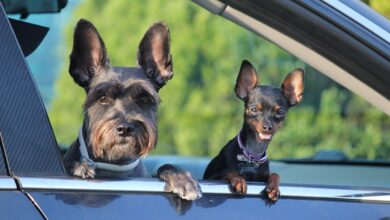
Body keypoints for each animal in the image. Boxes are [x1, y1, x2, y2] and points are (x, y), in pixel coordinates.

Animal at [63, 18, 201, 200]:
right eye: (102, 97)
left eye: (144, 98)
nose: (125, 128)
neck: (115, 165)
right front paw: (79, 165)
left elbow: (166, 165)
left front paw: (182, 177)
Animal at [204, 59, 304, 201]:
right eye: (254, 109)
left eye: (280, 112)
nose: (267, 127)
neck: (253, 153)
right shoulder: (214, 178)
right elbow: (230, 173)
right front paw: (239, 181)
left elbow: (275, 174)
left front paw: (274, 187)